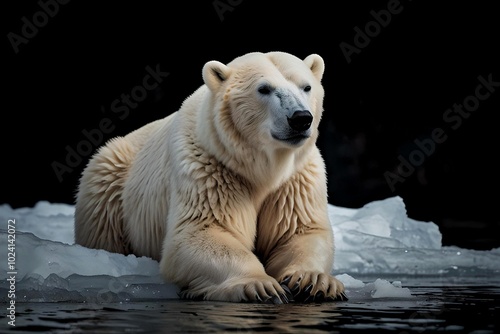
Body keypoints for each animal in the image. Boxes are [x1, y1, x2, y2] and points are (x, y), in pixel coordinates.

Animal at [74, 51, 346, 304]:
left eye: (306, 86)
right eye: (264, 88)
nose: (300, 118)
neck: (260, 167)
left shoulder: (296, 179)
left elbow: (301, 231)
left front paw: (314, 282)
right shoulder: (211, 169)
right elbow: (200, 232)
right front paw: (261, 286)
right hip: (110, 179)